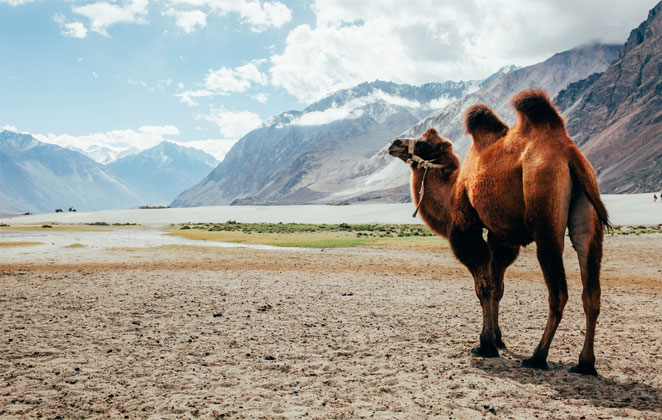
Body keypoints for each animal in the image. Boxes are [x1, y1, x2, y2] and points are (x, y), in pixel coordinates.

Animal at [390, 89, 612, 378]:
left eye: (425, 143)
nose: (394, 143)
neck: (452, 189)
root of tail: (569, 155)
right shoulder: (500, 236)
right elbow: (498, 287)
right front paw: (498, 339)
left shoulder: (467, 228)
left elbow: (483, 287)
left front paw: (484, 345)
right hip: (588, 216)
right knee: (591, 291)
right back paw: (585, 364)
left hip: (544, 207)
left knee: (558, 292)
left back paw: (537, 356)